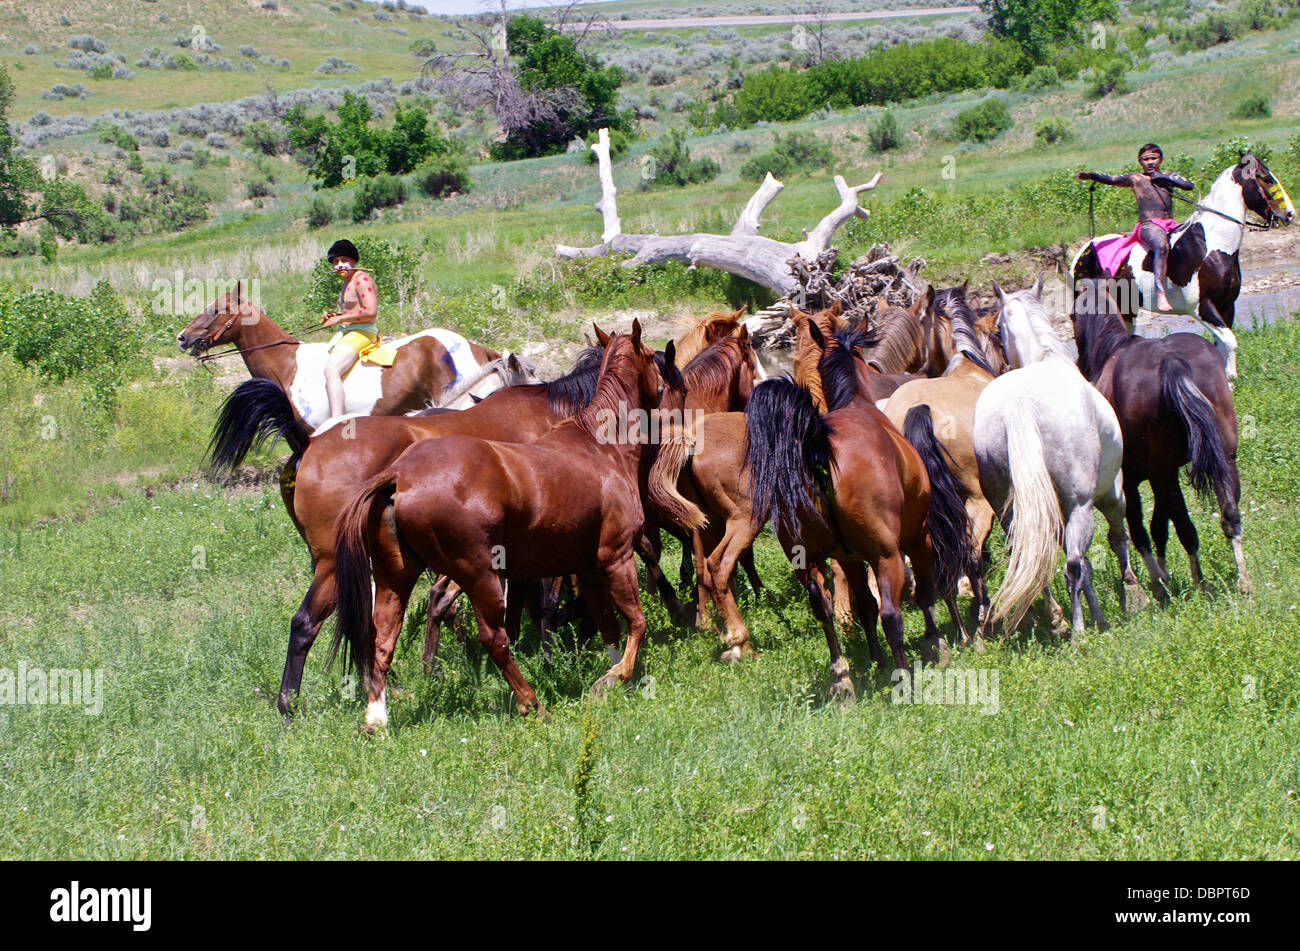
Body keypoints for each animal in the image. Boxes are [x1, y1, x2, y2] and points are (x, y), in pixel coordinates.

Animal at [331, 323, 686, 729]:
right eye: (659, 365)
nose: (679, 405)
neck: (600, 446)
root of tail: (399, 475)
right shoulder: (616, 557)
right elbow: (636, 621)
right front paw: (618, 676)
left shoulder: (587, 567)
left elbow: (608, 624)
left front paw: (612, 678)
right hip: (479, 575)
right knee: (493, 638)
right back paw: (531, 702)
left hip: (395, 577)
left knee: (382, 638)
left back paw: (377, 717)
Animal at [884, 283, 1001, 639]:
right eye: (997, 336)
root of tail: (919, 408)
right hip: (977, 500)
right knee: (970, 555)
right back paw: (979, 620)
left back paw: (949, 632)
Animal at [972, 280, 1146, 640]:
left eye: (997, 330)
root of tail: (1019, 404)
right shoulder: (1112, 494)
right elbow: (1117, 540)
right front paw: (1132, 594)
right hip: (1081, 506)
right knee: (1073, 565)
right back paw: (1078, 632)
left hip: (1012, 511)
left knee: (1032, 560)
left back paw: (1056, 620)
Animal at [1070, 278, 1248, 599]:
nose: (1079, 364)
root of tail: (1173, 362)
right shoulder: (1164, 472)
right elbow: (1159, 526)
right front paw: (1164, 576)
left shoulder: (1133, 480)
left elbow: (1141, 529)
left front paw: (1159, 581)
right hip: (1223, 459)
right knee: (1229, 516)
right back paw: (1242, 583)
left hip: (1162, 474)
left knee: (1184, 528)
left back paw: (1198, 582)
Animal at [1071, 151, 1295, 382]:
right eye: (1266, 178)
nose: (1289, 214)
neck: (1211, 247)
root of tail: (1083, 251)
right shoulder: (1202, 307)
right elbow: (1230, 341)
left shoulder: (1226, 305)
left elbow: (1222, 344)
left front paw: (1228, 379)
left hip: (1126, 308)